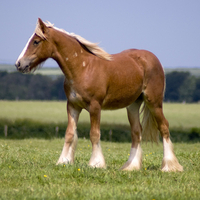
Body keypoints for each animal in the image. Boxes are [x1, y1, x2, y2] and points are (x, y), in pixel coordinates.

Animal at [14, 18, 183, 172]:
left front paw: (96, 163)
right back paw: (131, 167)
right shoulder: (72, 106)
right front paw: (63, 161)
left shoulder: (95, 107)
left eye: (36, 41)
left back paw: (170, 166)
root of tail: (153, 59)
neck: (83, 68)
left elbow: (94, 134)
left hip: (154, 102)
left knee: (164, 127)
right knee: (136, 133)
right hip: (133, 105)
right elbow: (69, 134)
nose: (19, 64)